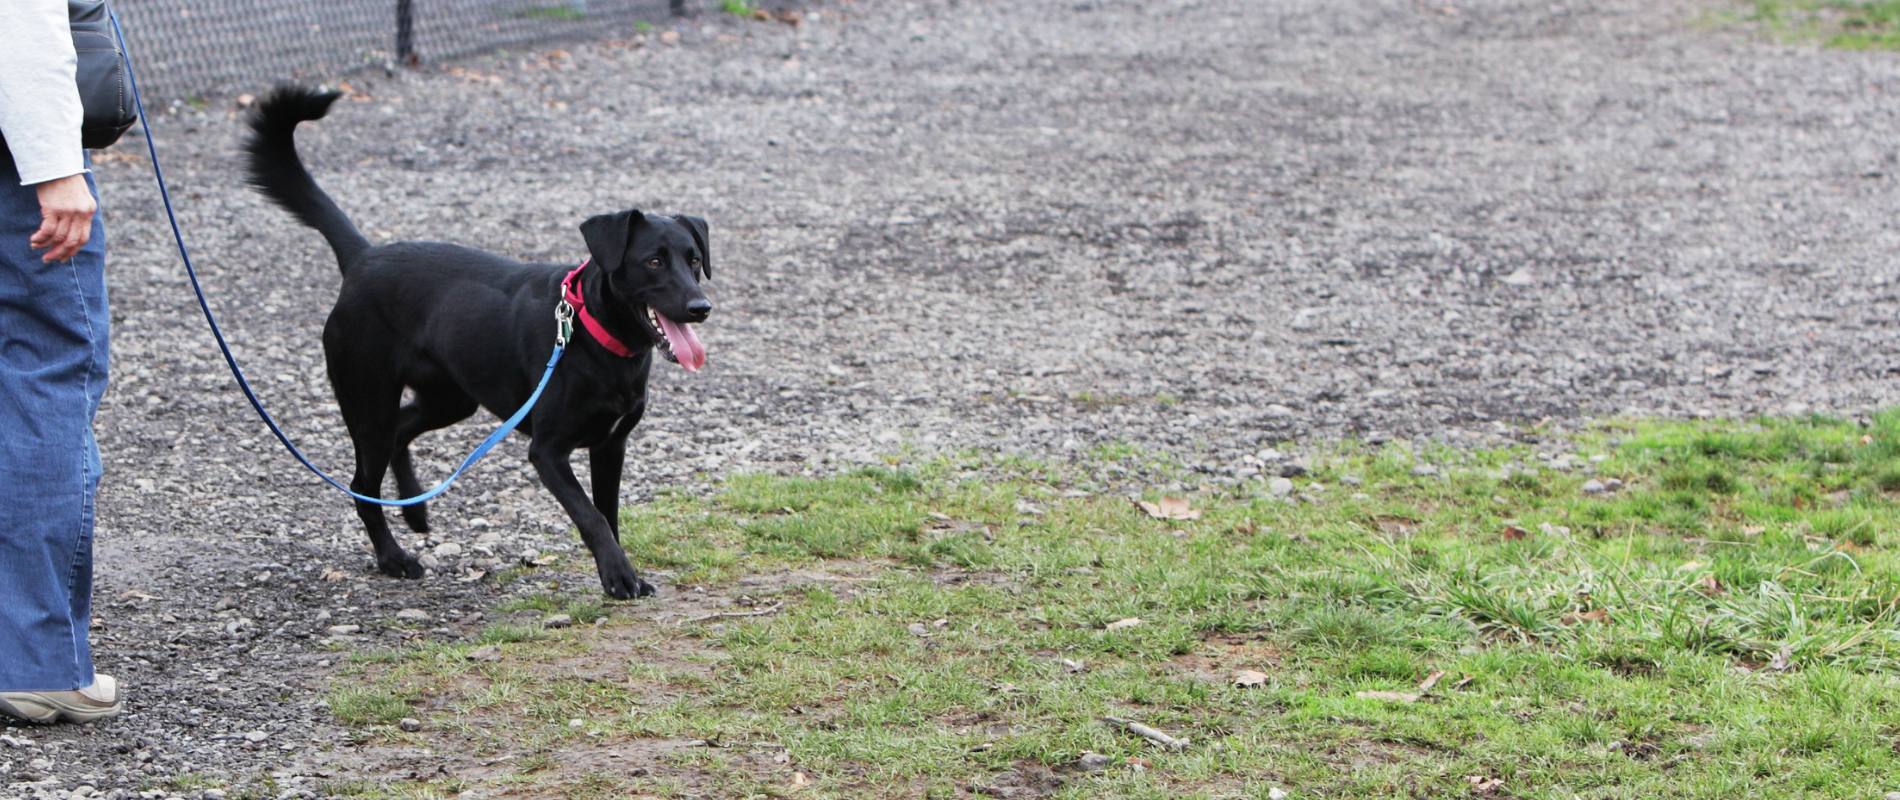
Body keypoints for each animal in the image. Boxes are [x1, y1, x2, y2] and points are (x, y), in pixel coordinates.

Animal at [241, 88, 710, 600]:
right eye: (653, 261)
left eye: (694, 259)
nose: (701, 306)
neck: (596, 337)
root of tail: (364, 256)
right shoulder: (548, 451)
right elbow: (591, 517)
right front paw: (618, 576)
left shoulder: (611, 446)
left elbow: (609, 513)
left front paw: (624, 572)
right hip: (368, 402)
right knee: (363, 483)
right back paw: (393, 557)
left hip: (450, 398)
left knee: (402, 432)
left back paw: (415, 509)